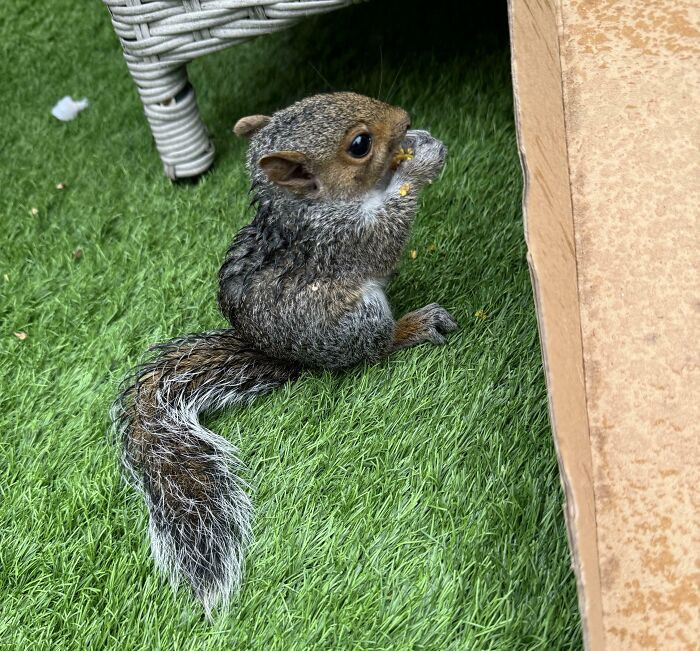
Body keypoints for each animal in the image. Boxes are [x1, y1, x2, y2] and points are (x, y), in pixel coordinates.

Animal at [113, 92, 458, 616]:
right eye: (360, 144)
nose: (405, 119)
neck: (307, 208)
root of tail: (291, 356)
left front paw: (417, 145)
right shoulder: (340, 241)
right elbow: (385, 238)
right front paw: (420, 163)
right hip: (356, 319)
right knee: (373, 351)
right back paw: (412, 327)